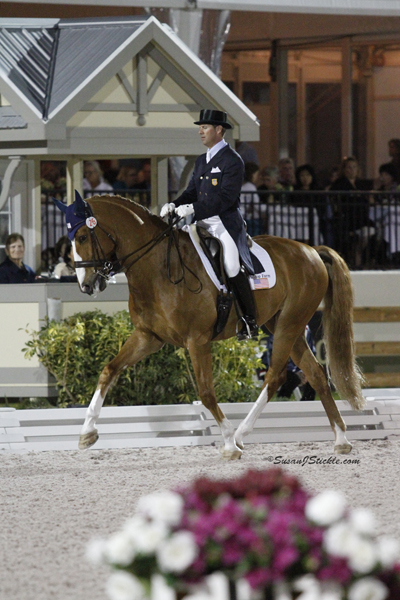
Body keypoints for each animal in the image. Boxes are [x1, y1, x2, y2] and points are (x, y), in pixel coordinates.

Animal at [59, 193, 365, 460]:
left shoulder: (197, 341)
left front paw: (228, 443)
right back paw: (341, 439)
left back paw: (241, 434)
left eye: (83, 236)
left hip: (289, 325)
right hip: (282, 324)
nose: (86, 286)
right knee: (315, 374)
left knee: (275, 376)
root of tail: (311, 250)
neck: (158, 268)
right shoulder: (148, 336)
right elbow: (109, 370)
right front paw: (87, 433)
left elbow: (206, 393)